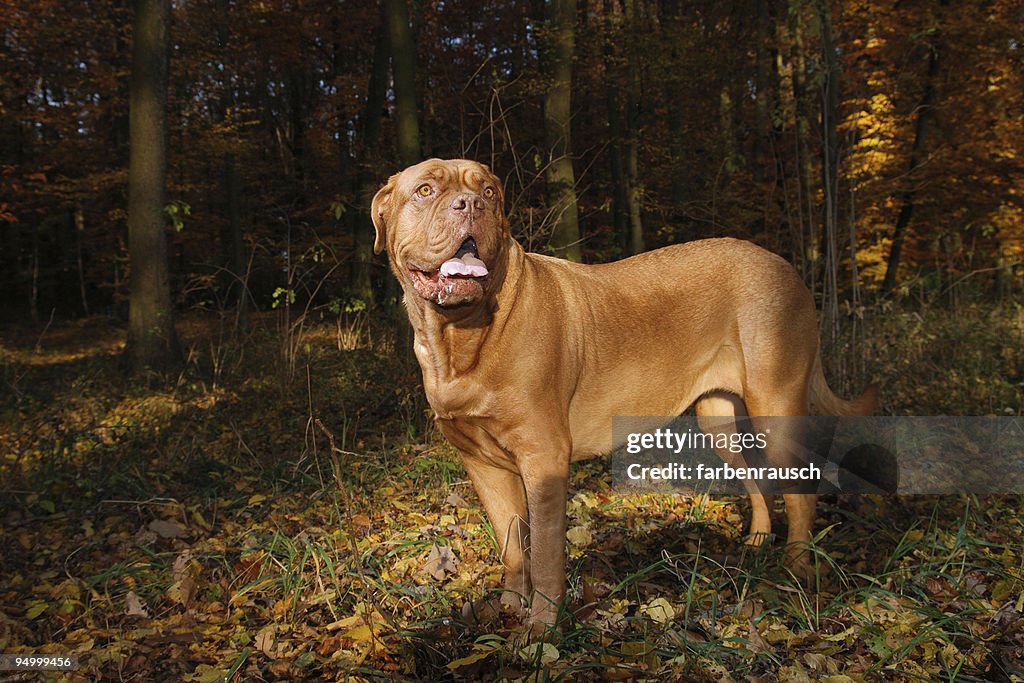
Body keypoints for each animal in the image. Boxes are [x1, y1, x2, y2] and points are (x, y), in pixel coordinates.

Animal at [372, 157, 876, 634]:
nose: (471, 205)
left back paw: (796, 571)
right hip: (720, 419)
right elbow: (513, 547)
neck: (462, 336)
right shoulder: (483, 464)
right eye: (425, 190)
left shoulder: (544, 457)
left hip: (776, 404)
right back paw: (757, 541)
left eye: (490, 192)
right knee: (756, 476)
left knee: (802, 491)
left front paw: (542, 630)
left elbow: (547, 554)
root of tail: (787, 266)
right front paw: (511, 608)